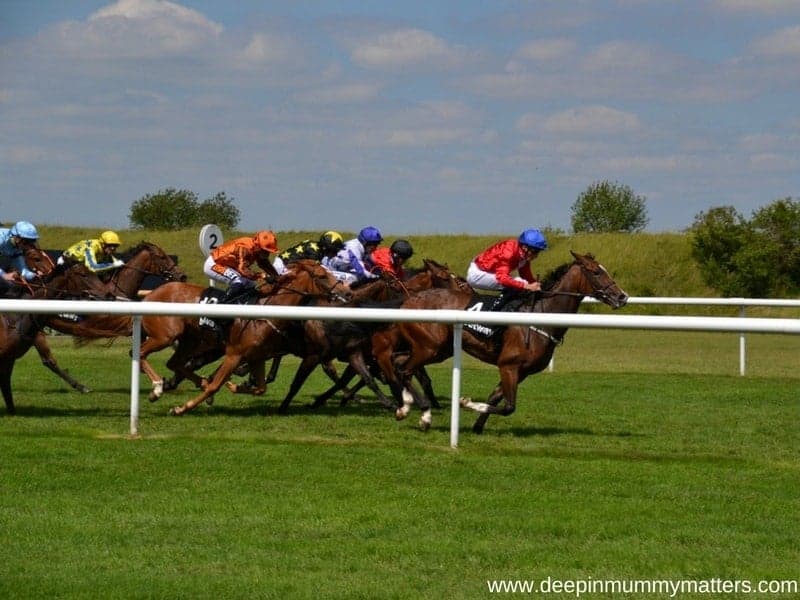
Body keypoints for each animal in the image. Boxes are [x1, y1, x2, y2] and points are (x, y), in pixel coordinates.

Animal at [169, 260, 346, 414]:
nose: (346, 292)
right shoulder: (236, 354)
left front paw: (235, 385)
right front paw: (181, 408)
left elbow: (261, 387)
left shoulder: (259, 355)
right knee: (187, 363)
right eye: (322, 276)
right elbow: (216, 384)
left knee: (183, 363)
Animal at [390, 252, 632, 432]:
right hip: (431, 347)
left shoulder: (521, 371)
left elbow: (495, 399)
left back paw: (405, 407)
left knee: (400, 363)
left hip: (436, 348)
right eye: (596, 272)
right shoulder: (509, 365)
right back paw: (424, 415)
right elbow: (508, 406)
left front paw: (477, 426)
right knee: (405, 369)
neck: (540, 315)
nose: (622, 297)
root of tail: (409, 300)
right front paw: (465, 402)